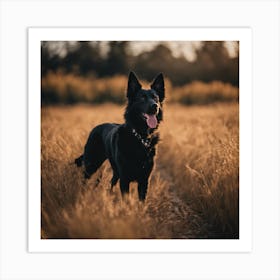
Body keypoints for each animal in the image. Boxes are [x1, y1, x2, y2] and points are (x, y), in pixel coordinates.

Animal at [75, 71, 165, 200]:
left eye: (156, 98)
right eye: (142, 98)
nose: (155, 106)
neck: (140, 137)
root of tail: (96, 127)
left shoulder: (144, 180)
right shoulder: (125, 179)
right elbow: (126, 201)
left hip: (114, 171)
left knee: (111, 182)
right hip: (91, 164)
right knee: (84, 180)